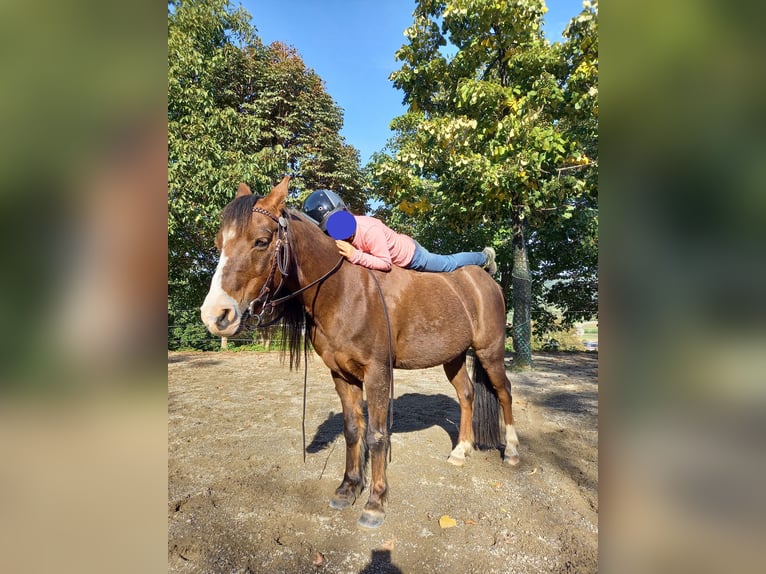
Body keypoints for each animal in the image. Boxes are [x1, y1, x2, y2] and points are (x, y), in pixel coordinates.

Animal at [200, 176, 520, 529]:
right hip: (453, 356)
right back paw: (460, 451)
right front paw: (348, 488)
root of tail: (485, 280)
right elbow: (353, 430)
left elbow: (377, 435)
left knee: (504, 392)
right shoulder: (342, 374)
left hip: (490, 351)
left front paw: (375, 502)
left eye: (261, 241)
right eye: (219, 243)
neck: (343, 290)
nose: (216, 315)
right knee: (466, 394)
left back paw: (512, 452)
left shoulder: (377, 373)